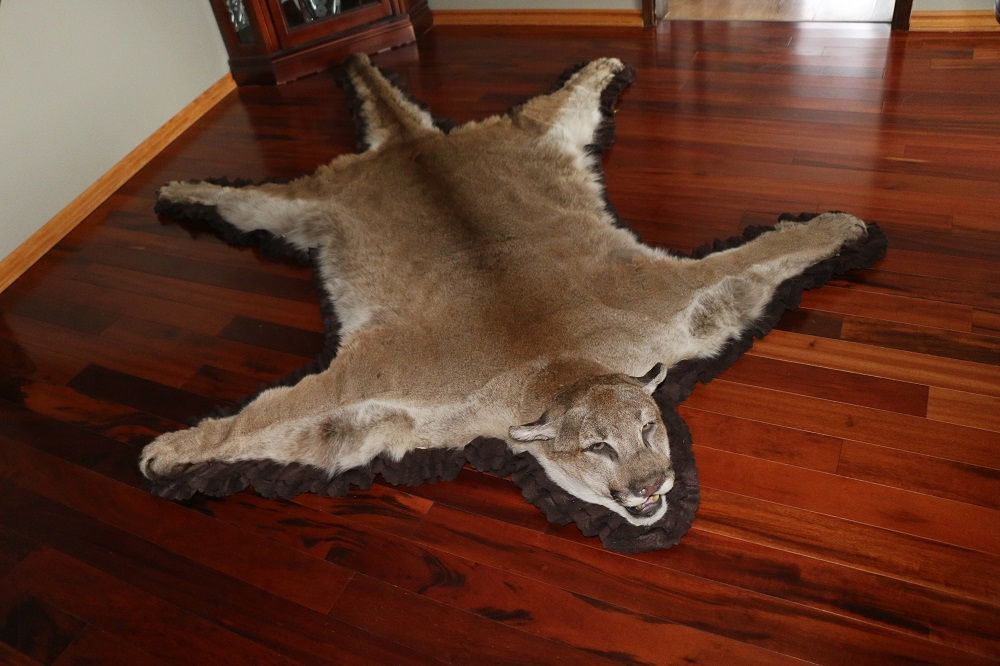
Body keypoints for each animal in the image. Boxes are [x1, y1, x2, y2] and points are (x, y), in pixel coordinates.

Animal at [139, 55, 869, 526]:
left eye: (649, 428)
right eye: (597, 448)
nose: (653, 482)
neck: (551, 359)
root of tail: (415, 144)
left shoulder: (675, 318)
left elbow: (759, 257)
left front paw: (836, 227)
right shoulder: (391, 401)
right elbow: (270, 423)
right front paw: (173, 450)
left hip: (528, 139)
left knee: (544, 108)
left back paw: (603, 67)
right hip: (315, 205)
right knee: (254, 200)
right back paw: (178, 190)